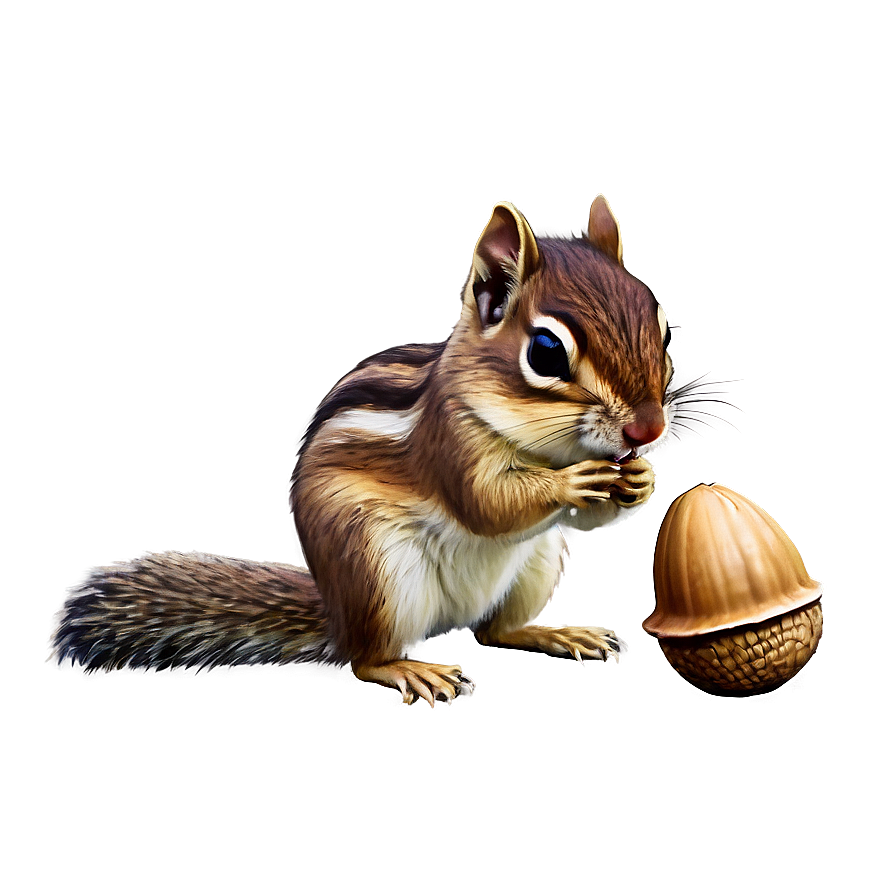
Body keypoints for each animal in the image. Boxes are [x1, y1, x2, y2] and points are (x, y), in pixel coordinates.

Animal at [50, 195, 675, 705]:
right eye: (545, 351)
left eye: (662, 328)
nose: (647, 431)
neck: (549, 446)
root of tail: (337, 614)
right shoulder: (448, 442)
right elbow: (485, 504)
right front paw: (572, 483)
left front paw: (640, 481)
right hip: (377, 574)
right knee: (364, 661)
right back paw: (406, 669)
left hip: (538, 563)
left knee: (495, 631)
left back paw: (550, 632)